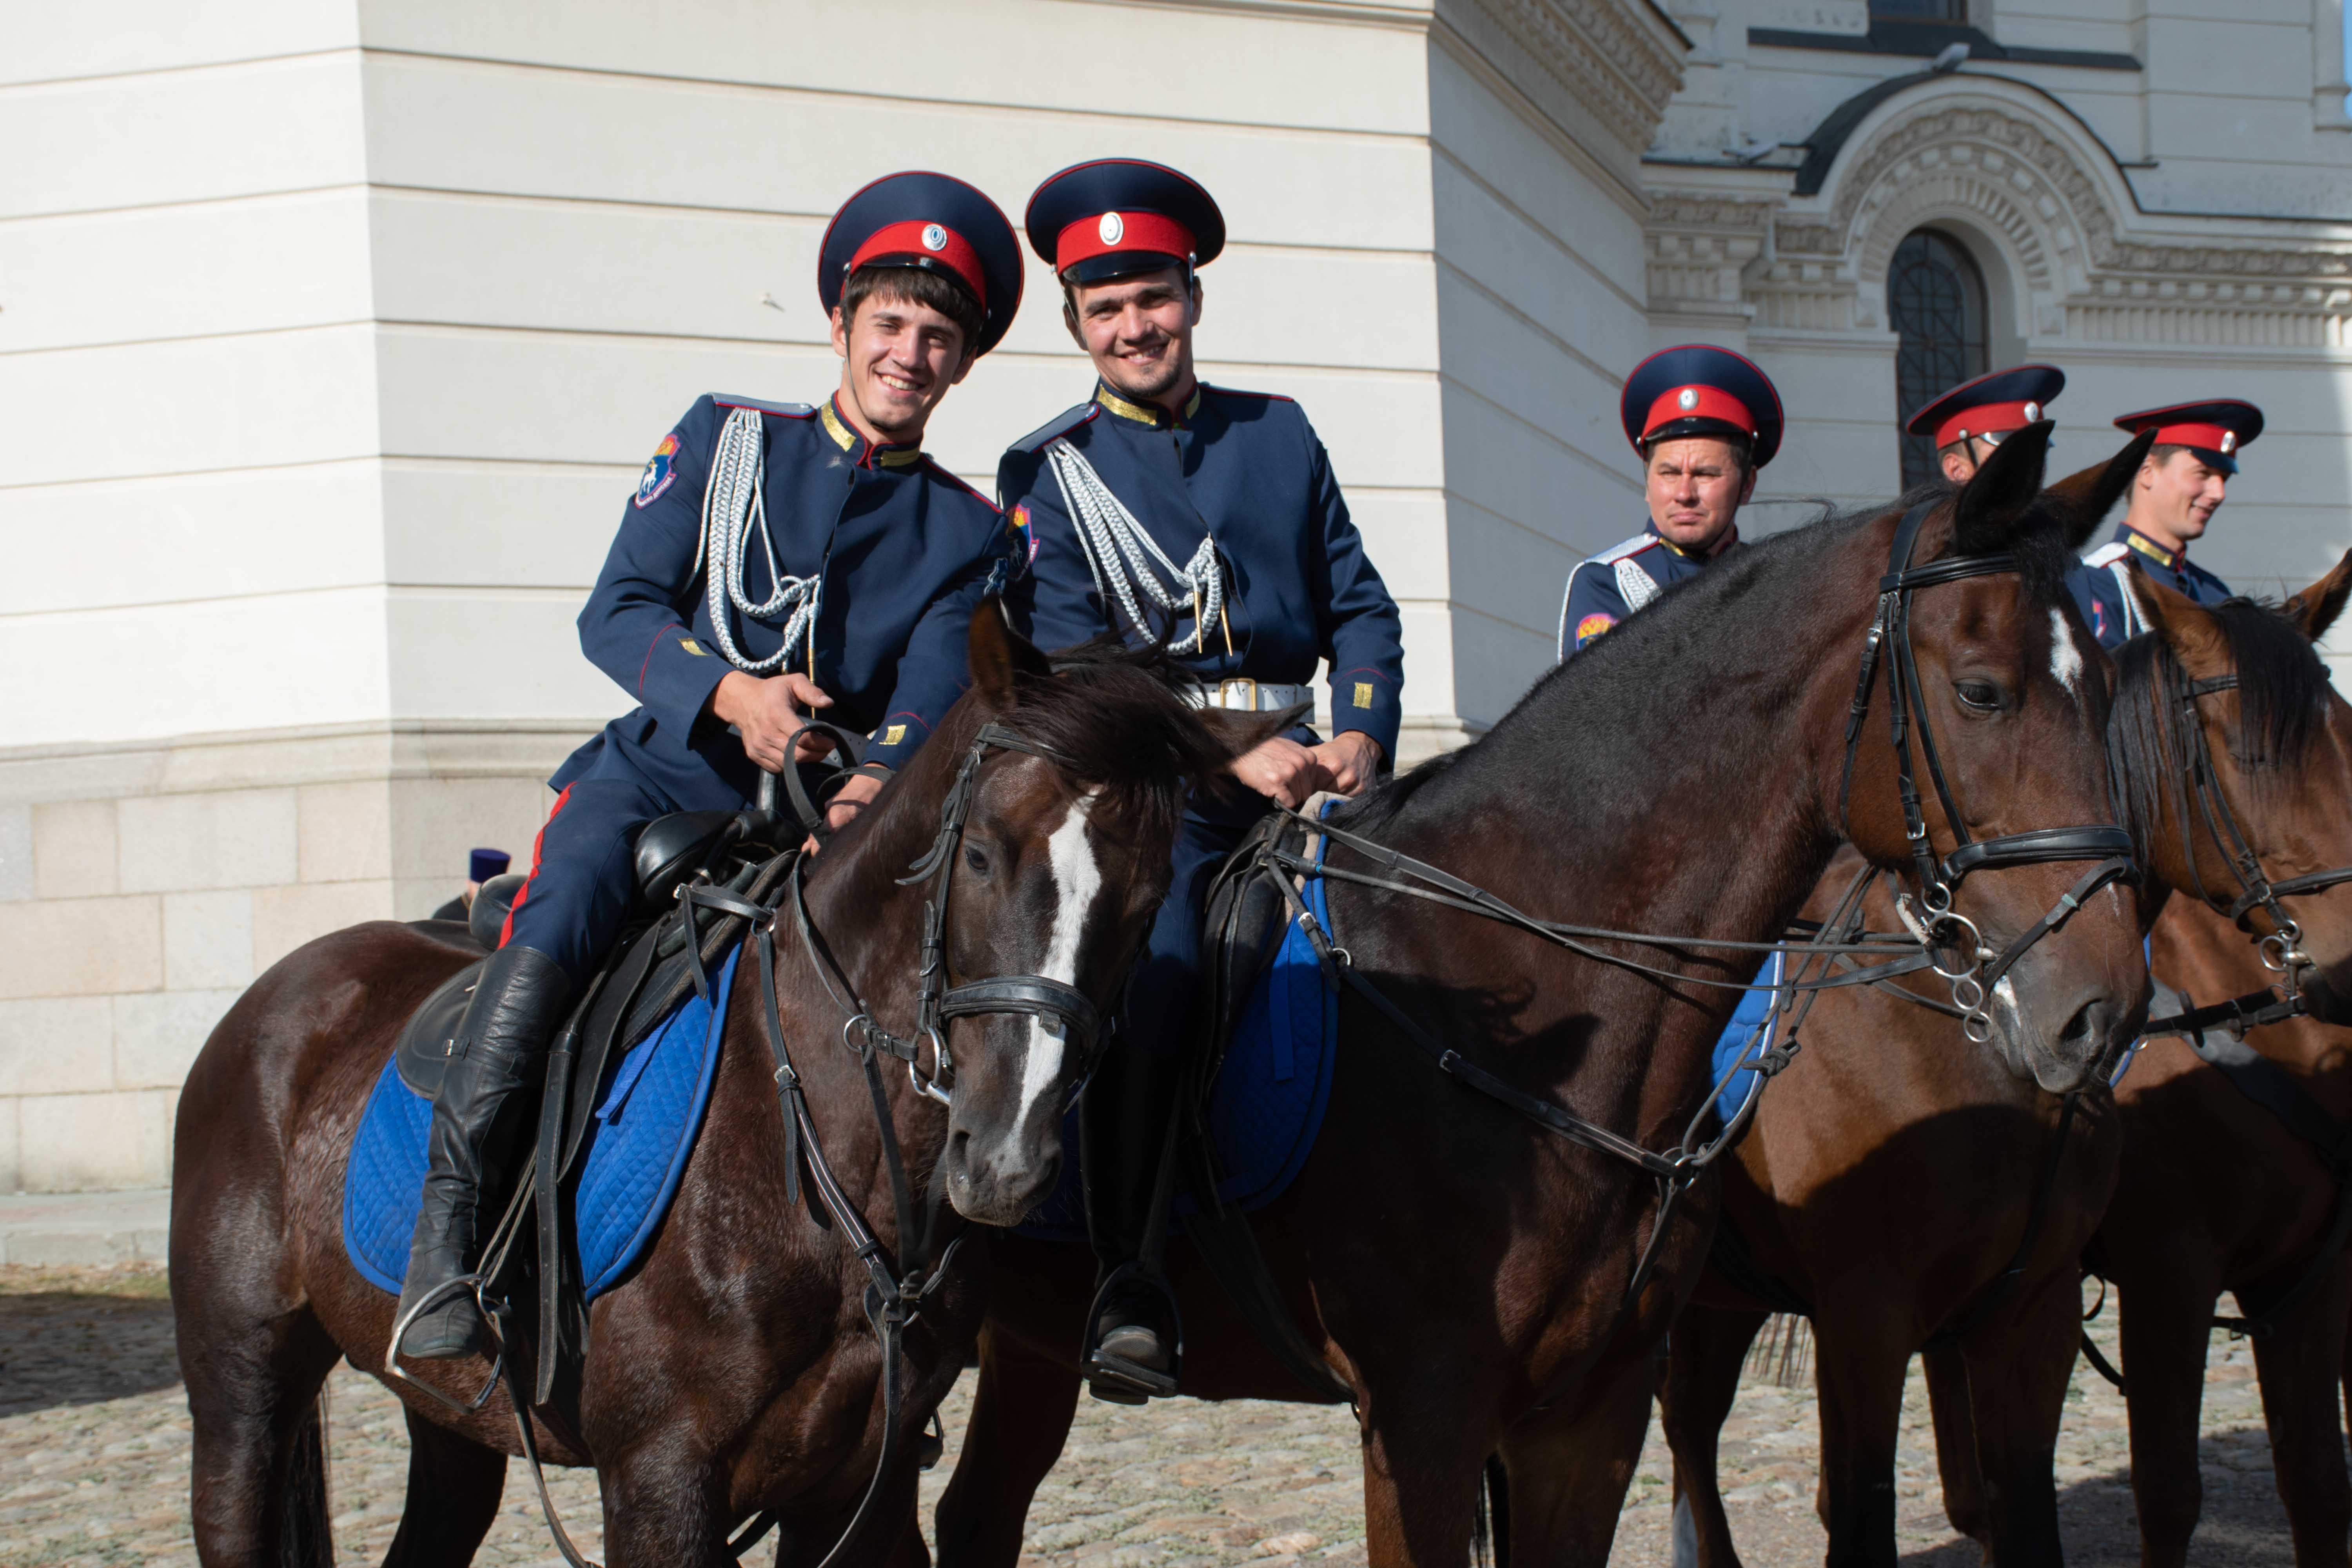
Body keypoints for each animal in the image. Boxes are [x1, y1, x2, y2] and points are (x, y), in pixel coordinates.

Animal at [171, 621, 1289, 1568]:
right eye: (978, 852)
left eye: (1151, 897)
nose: (1008, 1159)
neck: (830, 1157)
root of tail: (277, 991)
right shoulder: (662, 1480)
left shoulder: (856, 1487)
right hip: (242, 1398)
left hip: (451, 1422)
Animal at [1656, 552, 2352, 1568]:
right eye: (2253, 756)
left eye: (2349, 741)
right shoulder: (2152, 1273)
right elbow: (2163, 1493)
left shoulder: (2256, 1280)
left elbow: (2308, 1488)